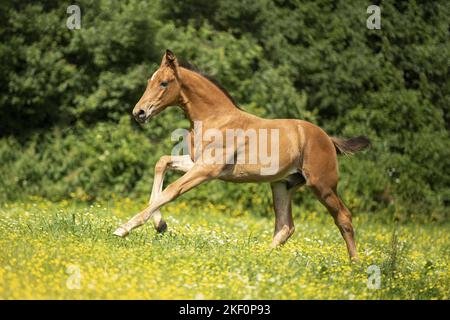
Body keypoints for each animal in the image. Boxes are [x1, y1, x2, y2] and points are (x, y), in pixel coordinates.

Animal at [113, 49, 370, 260]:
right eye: (150, 81)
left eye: (164, 83)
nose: (139, 112)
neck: (216, 118)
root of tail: (327, 138)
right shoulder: (197, 163)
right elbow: (162, 162)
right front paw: (160, 224)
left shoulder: (207, 169)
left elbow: (172, 190)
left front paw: (124, 228)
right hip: (282, 185)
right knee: (285, 226)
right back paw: (260, 258)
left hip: (322, 185)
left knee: (343, 217)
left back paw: (355, 266)